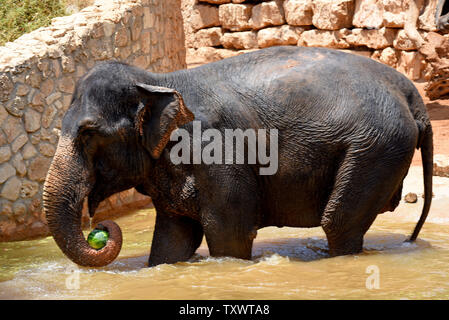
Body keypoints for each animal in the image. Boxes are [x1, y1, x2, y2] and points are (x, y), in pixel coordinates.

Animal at [43, 46, 432, 268]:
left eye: (88, 133)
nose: (101, 228)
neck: (159, 79)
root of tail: (412, 95)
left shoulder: (220, 152)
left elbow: (228, 234)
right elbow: (172, 240)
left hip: (374, 149)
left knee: (339, 223)